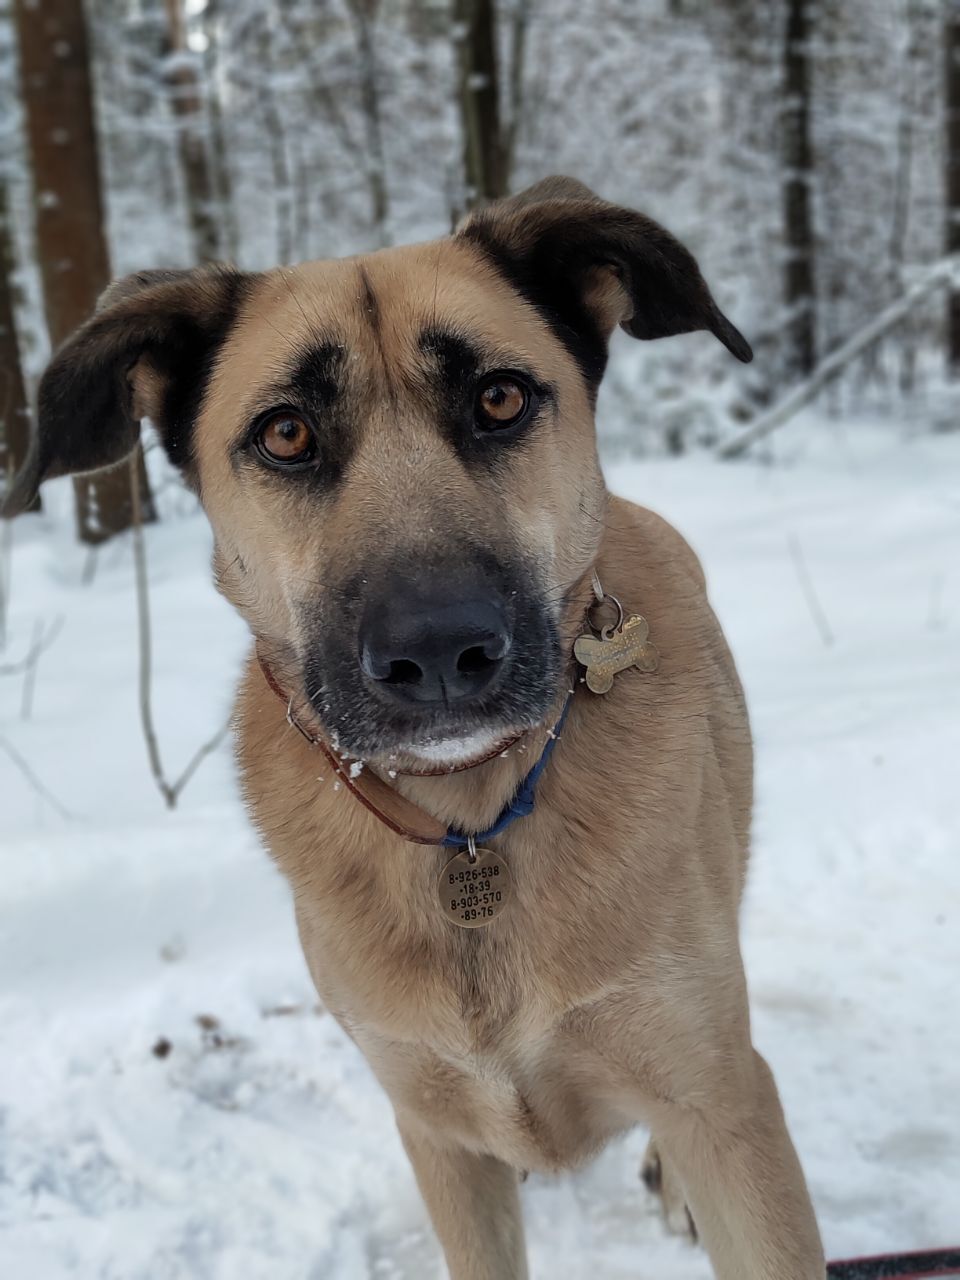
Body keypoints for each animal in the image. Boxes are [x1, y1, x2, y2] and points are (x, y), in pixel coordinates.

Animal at [3, 175, 829, 1274]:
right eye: (285, 434)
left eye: (500, 398)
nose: (439, 654)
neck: (469, 822)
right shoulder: (439, 1134)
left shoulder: (723, 1105)